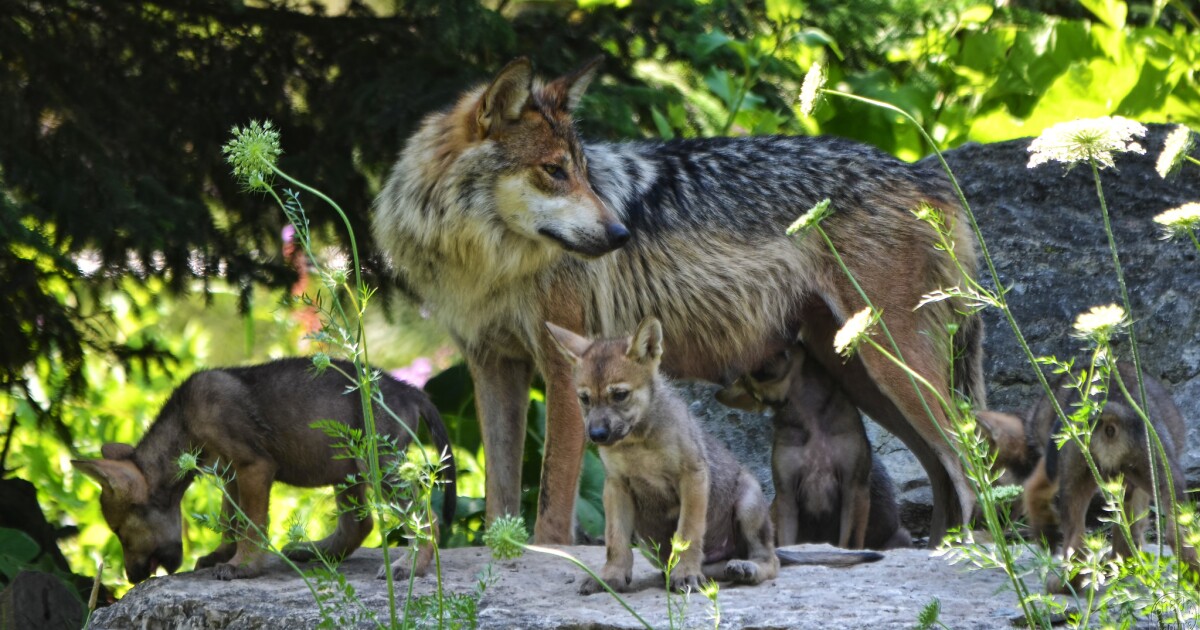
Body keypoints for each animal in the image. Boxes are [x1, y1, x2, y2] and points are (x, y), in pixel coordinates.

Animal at [73, 358, 456, 583]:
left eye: (119, 531)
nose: (132, 579)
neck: (183, 423)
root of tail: (409, 390)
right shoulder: (229, 473)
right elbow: (230, 519)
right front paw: (221, 555)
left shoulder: (253, 467)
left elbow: (251, 525)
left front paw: (242, 566)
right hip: (346, 468)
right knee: (359, 524)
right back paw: (317, 552)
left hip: (378, 466)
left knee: (427, 519)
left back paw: (411, 566)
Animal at [547, 317, 880, 594]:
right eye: (584, 398)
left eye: (620, 395)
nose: (596, 435)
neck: (638, 444)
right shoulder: (616, 486)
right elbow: (615, 541)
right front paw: (611, 577)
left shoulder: (692, 476)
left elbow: (688, 534)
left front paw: (685, 574)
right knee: (717, 567)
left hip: (750, 503)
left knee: (771, 561)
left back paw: (744, 569)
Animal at [717, 344, 911, 550]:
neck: (807, 410)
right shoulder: (787, 496)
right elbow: (787, 542)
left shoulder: (853, 487)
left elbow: (849, 541)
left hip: (901, 537)